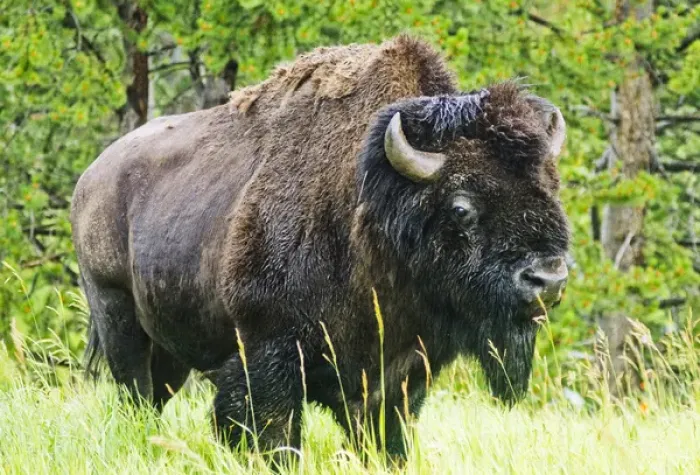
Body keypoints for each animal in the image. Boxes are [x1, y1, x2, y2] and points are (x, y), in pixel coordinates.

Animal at [71, 35, 570, 456]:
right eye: (461, 206)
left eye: (551, 186)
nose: (547, 278)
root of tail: (90, 179)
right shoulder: (270, 353)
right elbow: (274, 434)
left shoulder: (400, 375)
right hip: (117, 318)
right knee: (135, 392)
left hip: (170, 342)